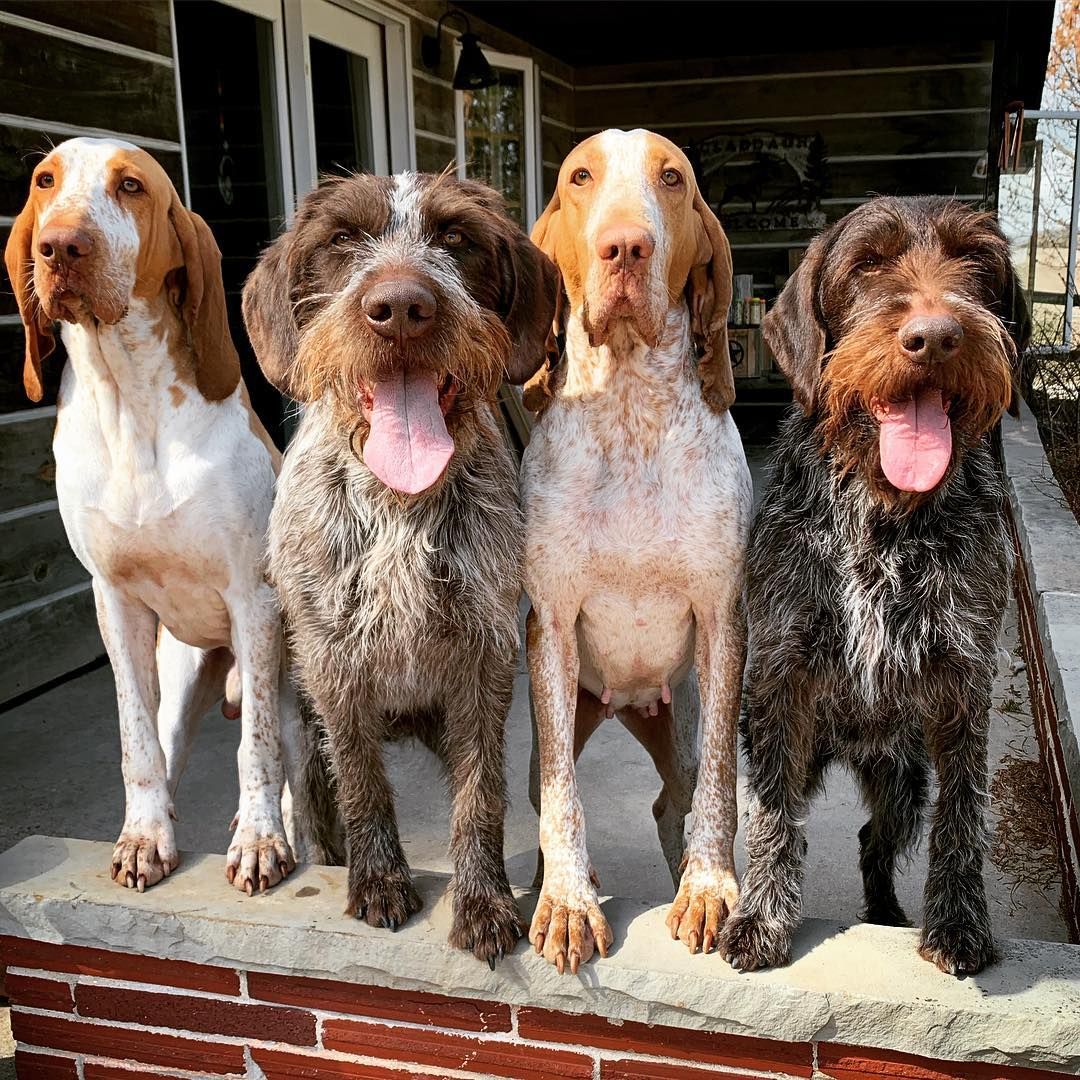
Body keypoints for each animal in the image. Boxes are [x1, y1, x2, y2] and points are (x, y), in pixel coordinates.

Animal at [4, 137, 302, 894]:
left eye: (132, 186)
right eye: (44, 180)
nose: (60, 245)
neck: (130, 405)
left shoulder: (254, 601)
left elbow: (255, 749)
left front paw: (260, 841)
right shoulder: (115, 603)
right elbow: (135, 745)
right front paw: (144, 837)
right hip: (181, 673)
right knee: (167, 747)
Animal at [243, 172, 557, 967]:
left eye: (456, 238)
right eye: (342, 240)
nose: (402, 309)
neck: (399, 502)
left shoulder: (484, 656)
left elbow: (481, 794)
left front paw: (482, 901)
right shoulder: (331, 662)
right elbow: (361, 781)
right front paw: (378, 880)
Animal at [725, 196, 1028, 980]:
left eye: (976, 261)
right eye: (867, 264)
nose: (937, 337)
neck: (887, 511)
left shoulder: (963, 683)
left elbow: (963, 814)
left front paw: (958, 924)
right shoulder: (781, 683)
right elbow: (771, 819)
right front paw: (761, 916)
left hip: (900, 776)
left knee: (874, 841)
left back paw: (887, 914)